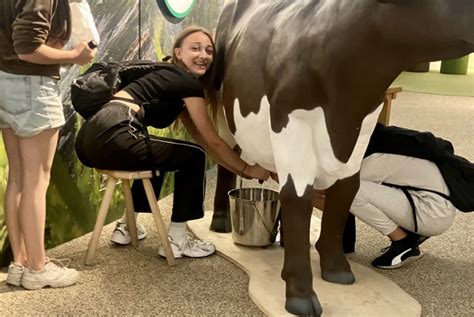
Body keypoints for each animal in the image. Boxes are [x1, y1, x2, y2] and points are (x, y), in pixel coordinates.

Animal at [210, 1, 474, 314]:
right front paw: (300, 294)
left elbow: (345, 192)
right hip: (222, 106)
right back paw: (220, 221)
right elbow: (298, 198)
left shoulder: (363, 129)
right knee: (225, 154)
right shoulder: (291, 121)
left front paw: (335, 268)